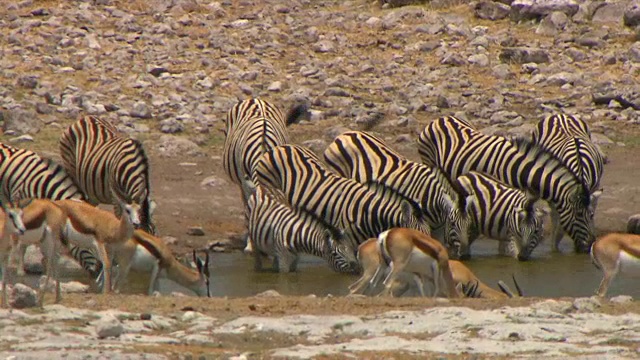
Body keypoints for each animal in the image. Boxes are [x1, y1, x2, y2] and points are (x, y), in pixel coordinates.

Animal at [250, 143, 430, 248]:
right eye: (415, 237)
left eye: (429, 234)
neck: (368, 211)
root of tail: (281, 147)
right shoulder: (348, 238)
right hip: (267, 185)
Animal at [324, 131, 470, 258]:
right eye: (452, 223)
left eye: (469, 223)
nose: (465, 255)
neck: (430, 196)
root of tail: (344, 135)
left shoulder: (436, 227)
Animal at [418, 116, 596, 253]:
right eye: (579, 214)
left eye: (591, 215)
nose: (589, 246)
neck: (519, 170)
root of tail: (440, 119)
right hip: (428, 161)